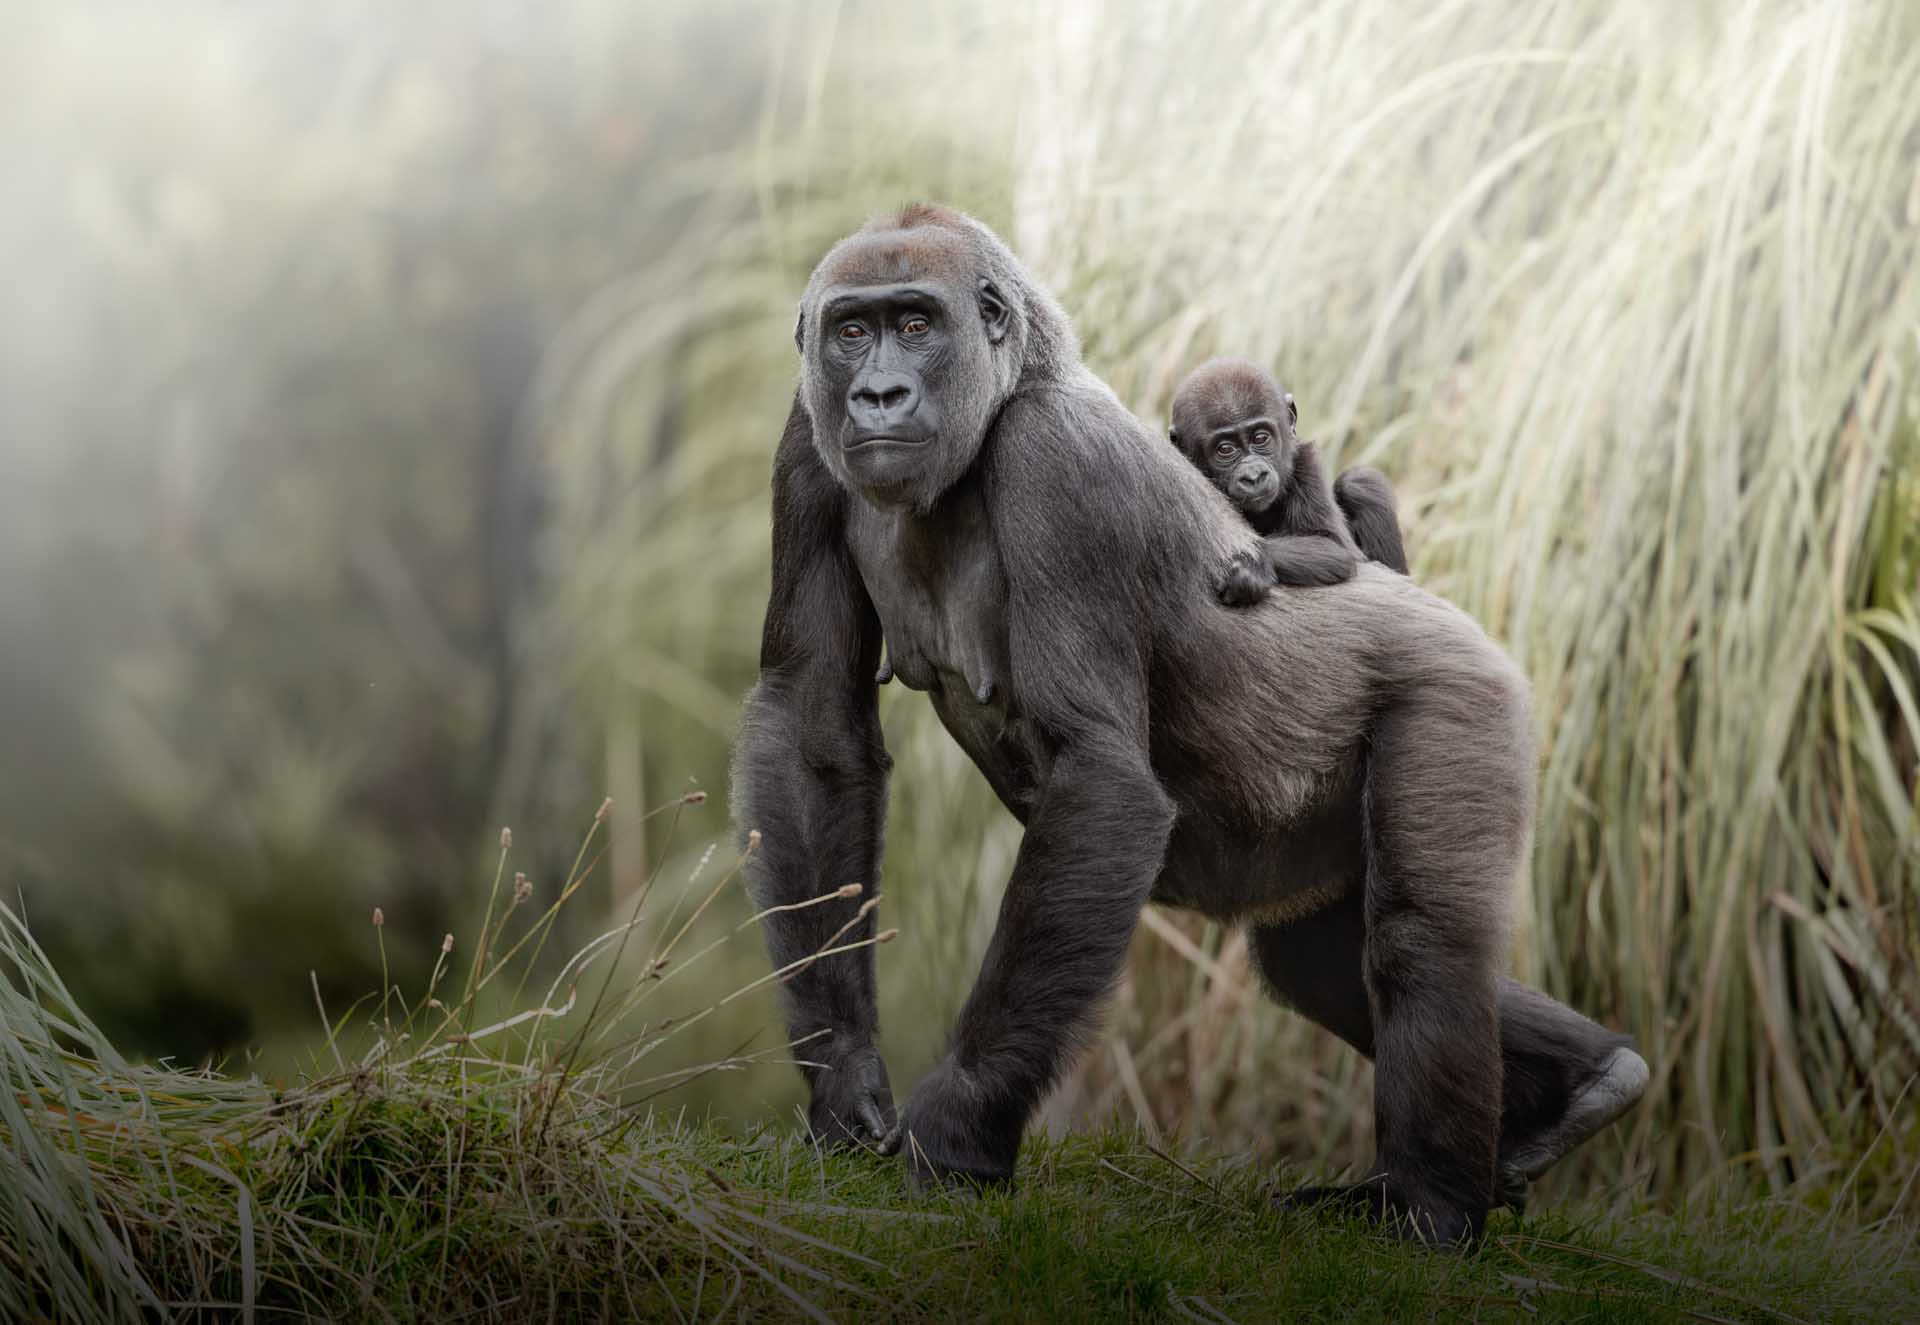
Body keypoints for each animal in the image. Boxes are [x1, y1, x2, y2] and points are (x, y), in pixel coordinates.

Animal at [732, 203, 1646, 1245]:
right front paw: (845, 1082)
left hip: (1463, 687)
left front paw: (956, 1129)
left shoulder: (1058, 462)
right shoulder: (806, 435)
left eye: (916, 323)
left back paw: (1429, 1207)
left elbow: (1100, 773)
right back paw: (1576, 1091)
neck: (1012, 388)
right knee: (1319, 958)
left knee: (1420, 944)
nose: (878, 393)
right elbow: (812, 732)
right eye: (851, 330)